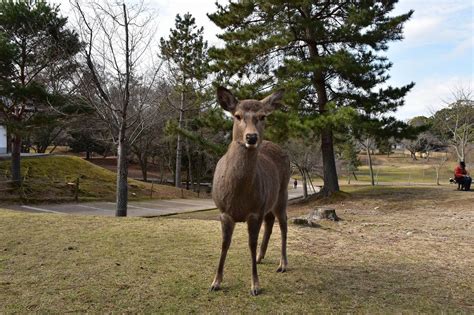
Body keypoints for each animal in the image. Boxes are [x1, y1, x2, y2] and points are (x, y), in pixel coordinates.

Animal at [210, 86, 290, 296]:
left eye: (262, 116)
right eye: (237, 115)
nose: (251, 137)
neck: (239, 196)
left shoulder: (255, 212)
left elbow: (250, 244)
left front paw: (255, 286)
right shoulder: (224, 211)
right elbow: (224, 244)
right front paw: (215, 282)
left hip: (282, 194)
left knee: (283, 224)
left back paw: (282, 264)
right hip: (269, 201)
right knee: (270, 222)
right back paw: (262, 257)